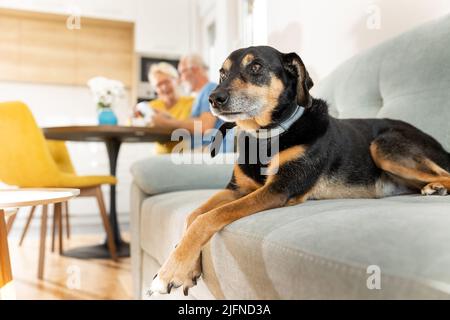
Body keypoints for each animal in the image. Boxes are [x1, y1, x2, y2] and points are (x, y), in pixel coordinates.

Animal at [150, 45, 450, 296]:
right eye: (222, 73)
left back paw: (437, 186)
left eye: (256, 67)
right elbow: (193, 215)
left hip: (384, 145)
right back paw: (431, 187)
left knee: (444, 172)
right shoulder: (237, 189)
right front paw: (186, 268)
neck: (265, 136)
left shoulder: (279, 189)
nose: (214, 98)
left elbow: (208, 218)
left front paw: (169, 272)